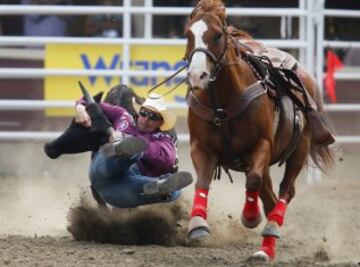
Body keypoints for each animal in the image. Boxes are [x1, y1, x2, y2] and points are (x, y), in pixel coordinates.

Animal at [186, 0, 334, 262]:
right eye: (189, 34)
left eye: (217, 35)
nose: (197, 76)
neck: (222, 103)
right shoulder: (201, 148)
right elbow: (202, 181)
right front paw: (197, 225)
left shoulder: (261, 145)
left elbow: (253, 180)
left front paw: (251, 217)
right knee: (269, 195)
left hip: (299, 150)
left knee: (285, 190)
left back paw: (268, 242)